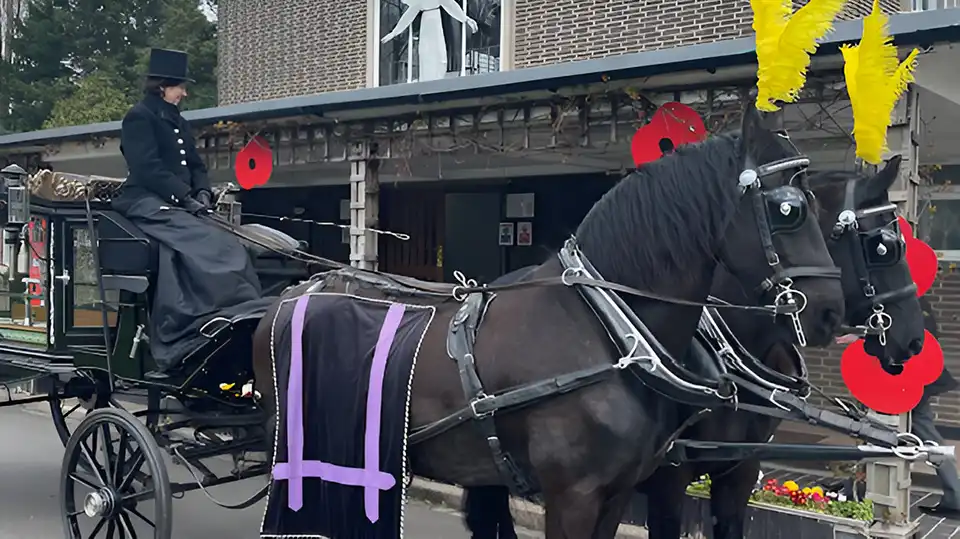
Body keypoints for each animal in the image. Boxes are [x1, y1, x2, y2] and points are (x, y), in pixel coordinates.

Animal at [251, 98, 844, 539]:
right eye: (789, 209)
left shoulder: (622, 492)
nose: (831, 311)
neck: (609, 333)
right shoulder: (577, 496)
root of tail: (291, 294)